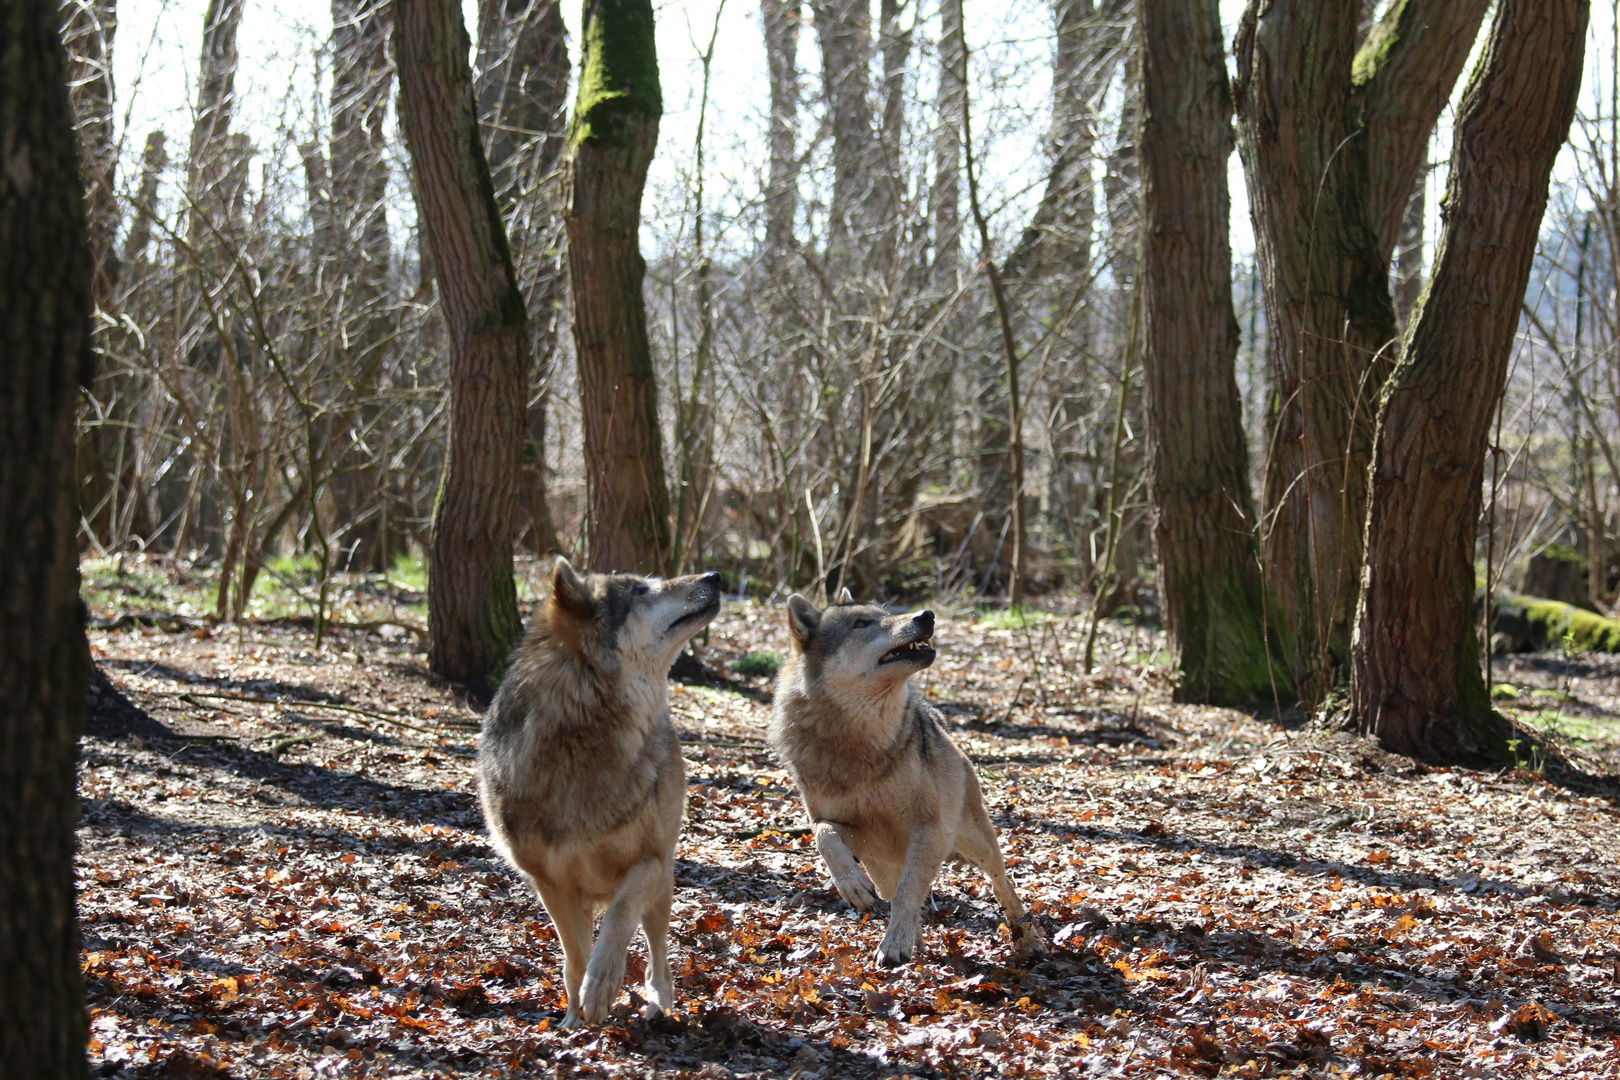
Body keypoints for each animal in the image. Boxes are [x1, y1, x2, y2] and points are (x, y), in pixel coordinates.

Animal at [473, 563, 719, 1029]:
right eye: (641, 590)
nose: (714, 576)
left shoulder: (648, 863)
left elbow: (619, 919)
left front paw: (602, 986)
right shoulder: (552, 885)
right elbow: (574, 957)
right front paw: (574, 1016)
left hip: (664, 883)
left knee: (658, 954)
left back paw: (659, 1003)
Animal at [764, 595, 1043, 965]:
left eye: (885, 614)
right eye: (861, 624)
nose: (927, 615)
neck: (858, 742)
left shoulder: (930, 829)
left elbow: (908, 891)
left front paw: (894, 943)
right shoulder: (850, 830)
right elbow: (824, 837)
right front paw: (853, 888)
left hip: (975, 841)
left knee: (1002, 884)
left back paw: (1028, 940)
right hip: (884, 866)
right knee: (896, 890)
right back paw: (917, 943)